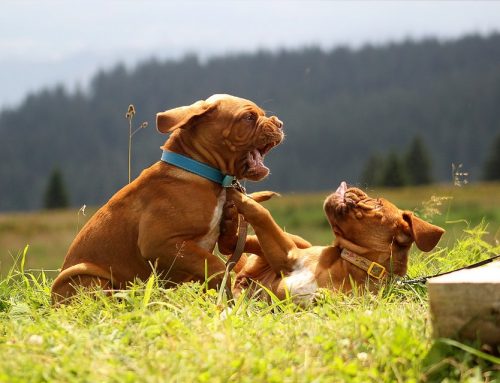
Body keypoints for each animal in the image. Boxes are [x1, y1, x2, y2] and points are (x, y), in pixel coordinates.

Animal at [53, 94, 286, 304]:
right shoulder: (160, 243)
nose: (280, 123)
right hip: (87, 276)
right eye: (248, 117)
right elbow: (217, 266)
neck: (201, 173)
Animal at [228, 183, 446, 306]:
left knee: (235, 244)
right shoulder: (289, 255)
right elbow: (262, 214)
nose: (352, 188)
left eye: (377, 204)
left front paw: (324, 297)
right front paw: (235, 193)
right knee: (241, 241)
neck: (355, 265)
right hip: (297, 241)